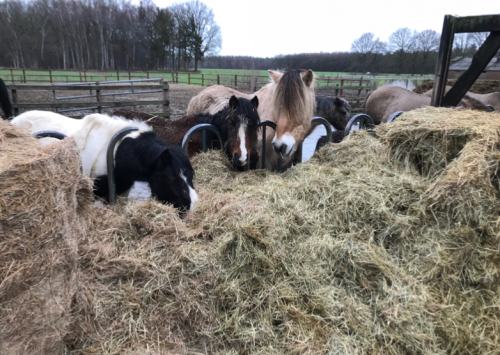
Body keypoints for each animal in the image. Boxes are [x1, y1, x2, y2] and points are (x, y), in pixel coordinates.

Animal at [10, 111, 198, 211]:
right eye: (172, 180)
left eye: (191, 175)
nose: (193, 206)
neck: (117, 153)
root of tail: (14, 119)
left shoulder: (121, 191)